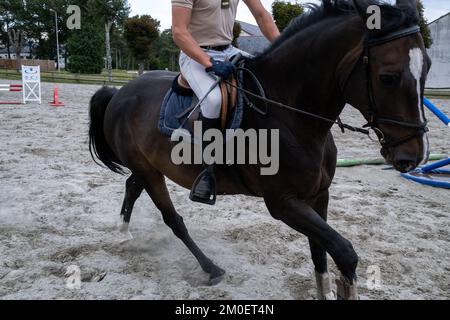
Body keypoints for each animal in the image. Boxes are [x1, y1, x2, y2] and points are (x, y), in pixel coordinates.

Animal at [88, 0, 428, 300]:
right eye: (387, 77)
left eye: (426, 69)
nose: (411, 156)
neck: (289, 113)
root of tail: (120, 92)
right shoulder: (283, 203)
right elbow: (344, 252)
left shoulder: (319, 195)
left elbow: (319, 253)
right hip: (150, 171)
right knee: (173, 219)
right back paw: (211, 268)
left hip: (148, 166)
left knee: (132, 186)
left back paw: (123, 233)